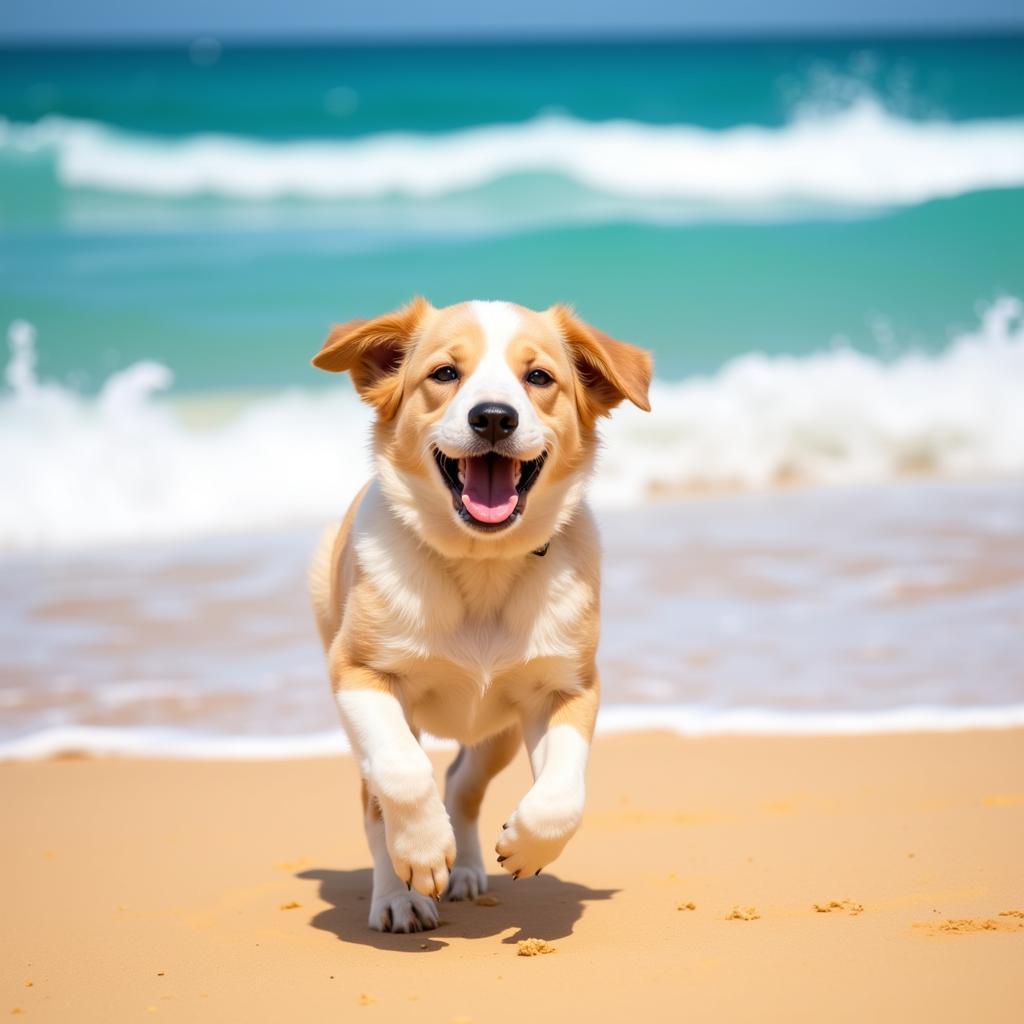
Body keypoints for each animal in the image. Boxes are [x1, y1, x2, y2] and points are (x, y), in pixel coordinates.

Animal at [307, 299, 651, 933]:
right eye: (445, 373)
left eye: (538, 377)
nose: (493, 418)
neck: (481, 565)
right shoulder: (359, 672)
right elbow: (401, 772)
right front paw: (421, 854)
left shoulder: (566, 686)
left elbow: (565, 791)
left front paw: (526, 845)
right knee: (377, 802)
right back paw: (398, 897)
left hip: (498, 733)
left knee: (462, 783)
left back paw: (465, 870)